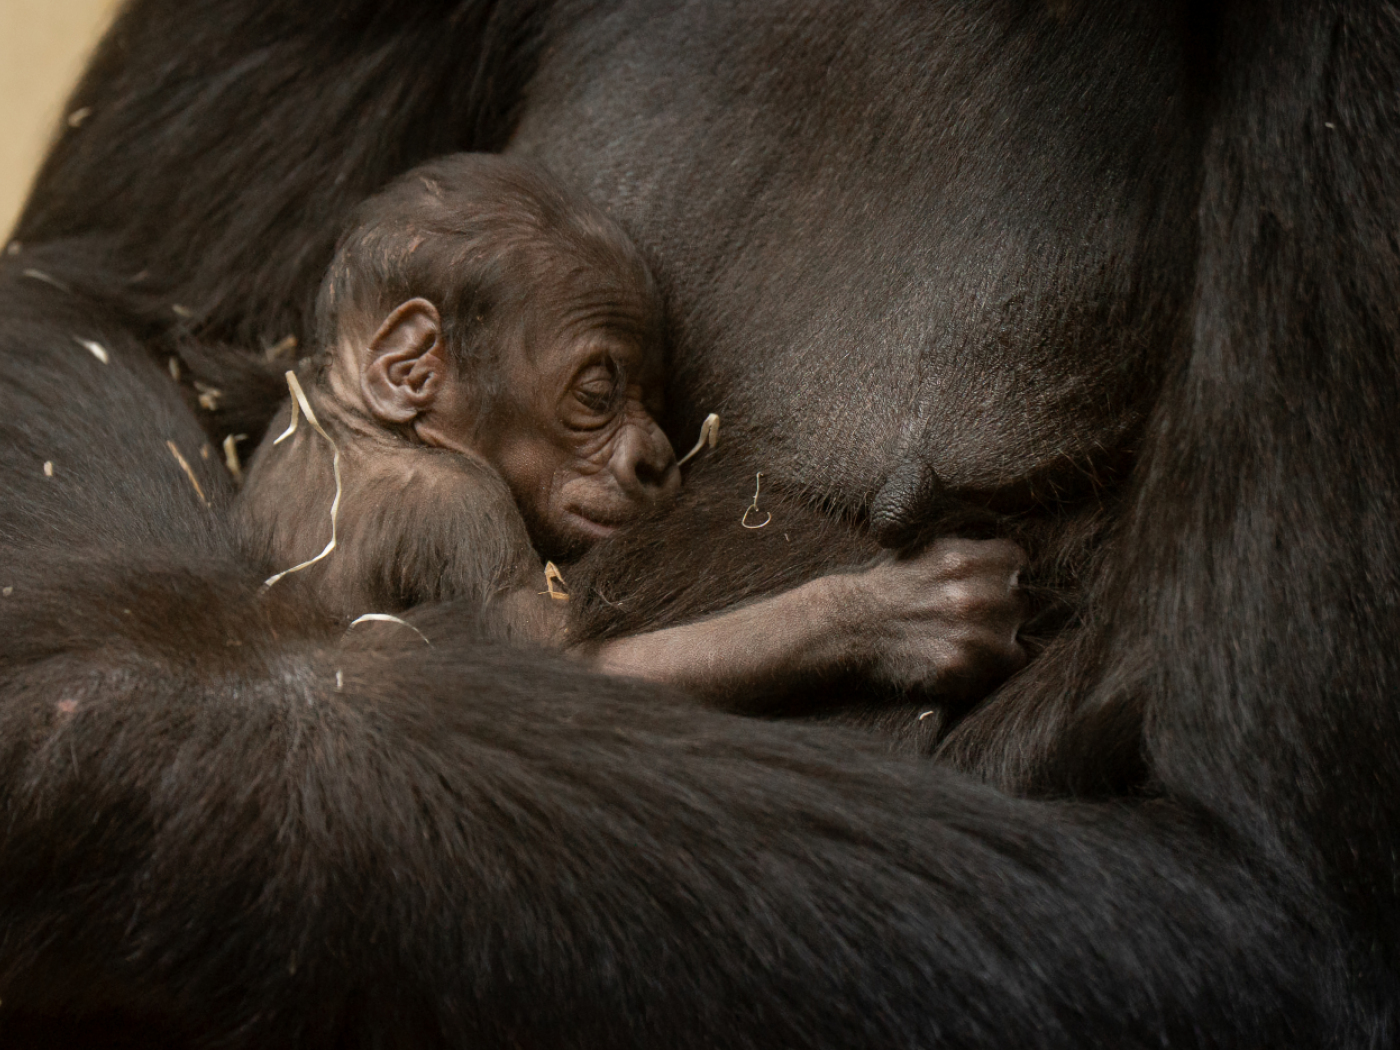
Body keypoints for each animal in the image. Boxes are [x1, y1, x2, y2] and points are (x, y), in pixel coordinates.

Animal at [236, 153, 1029, 709]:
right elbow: (553, 659)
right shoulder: (453, 507)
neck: (362, 423)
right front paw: (887, 615)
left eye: (653, 396)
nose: (655, 461)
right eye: (598, 392)